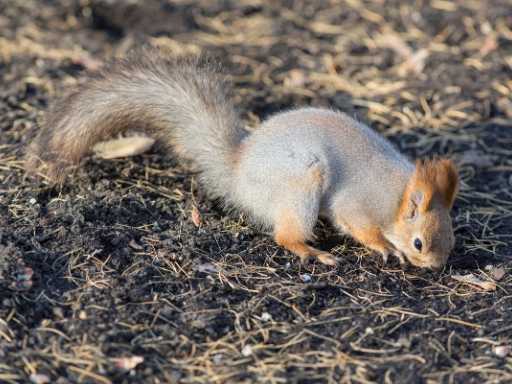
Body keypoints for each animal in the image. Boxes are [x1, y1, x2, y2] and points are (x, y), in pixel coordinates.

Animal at [27, 46, 460, 270]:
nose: (436, 266)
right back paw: (313, 252)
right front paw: (384, 247)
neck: (397, 195)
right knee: (284, 236)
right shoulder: (358, 204)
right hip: (301, 184)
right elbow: (360, 227)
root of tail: (237, 170)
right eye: (419, 243)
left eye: (451, 237)